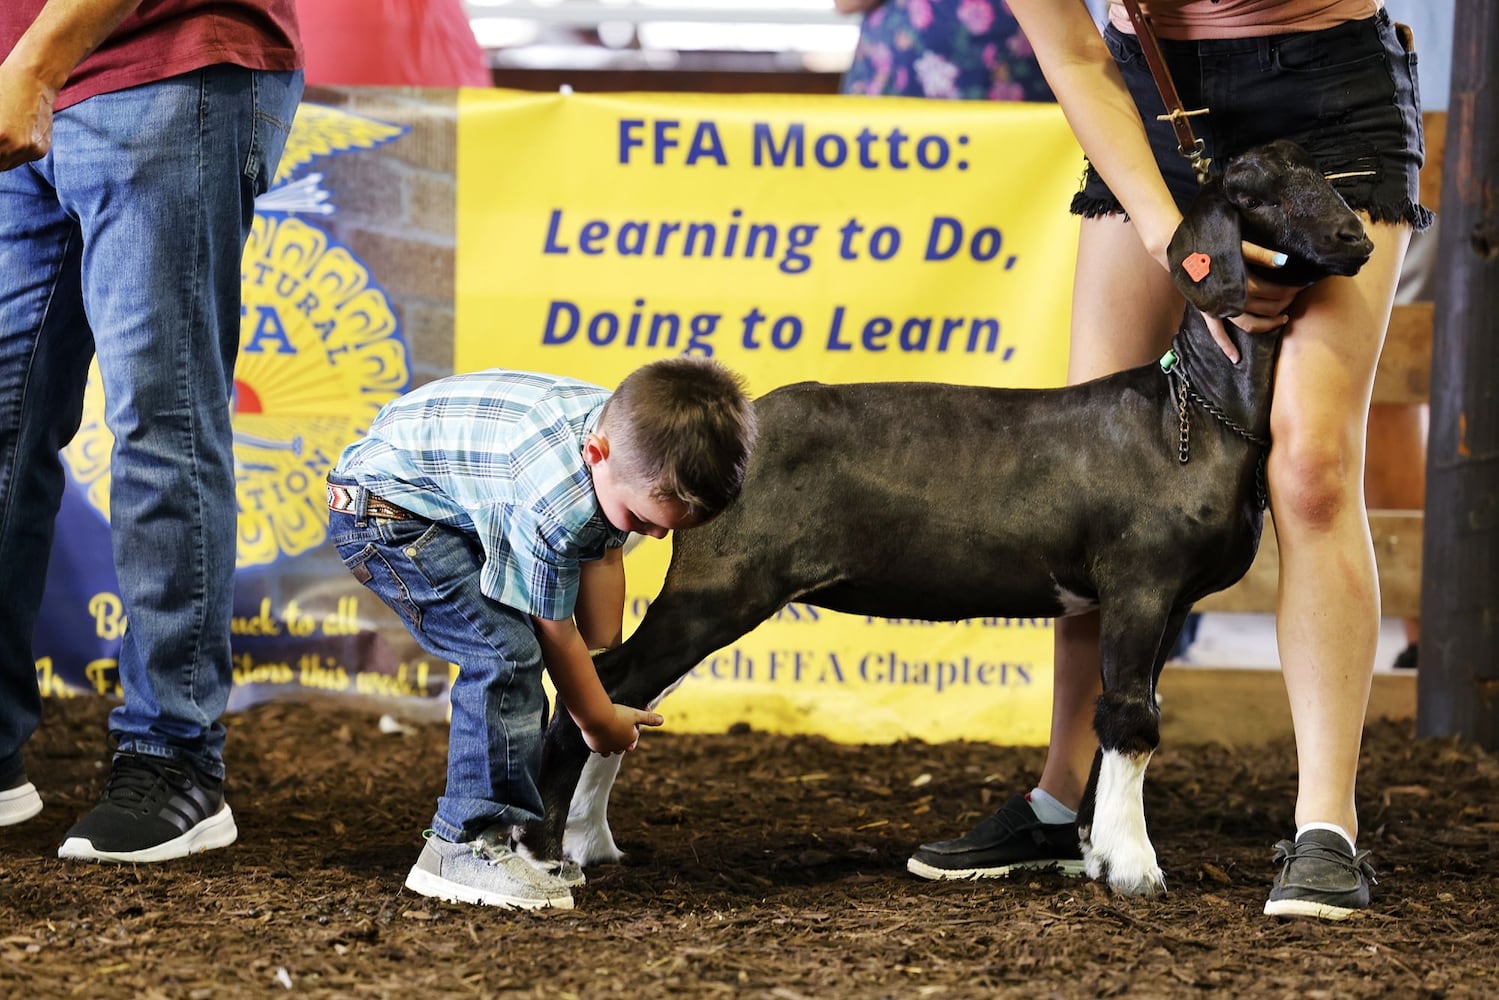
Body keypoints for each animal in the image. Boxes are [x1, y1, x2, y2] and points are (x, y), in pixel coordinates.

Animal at [524, 137, 1373, 893]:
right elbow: (1132, 719)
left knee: (626, 694)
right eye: (1254, 192)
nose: (1356, 238)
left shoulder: (1173, 601)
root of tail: (731, 425)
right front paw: (1135, 870)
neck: (1190, 413)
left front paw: (1097, 851)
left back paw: (593, 841)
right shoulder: (1140, 579)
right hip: (719, 584)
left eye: (1328, 178)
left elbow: (1118, 717)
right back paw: (553, 853)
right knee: (607, 678)